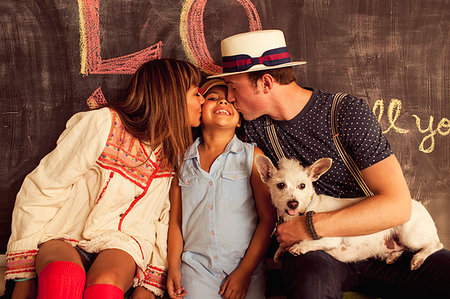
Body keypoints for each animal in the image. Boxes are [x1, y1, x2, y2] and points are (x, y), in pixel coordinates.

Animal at [255, 155, 444, 272]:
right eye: (280, 185)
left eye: (302, 185)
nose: (293, 203)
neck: (305, 211)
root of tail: (421, 205)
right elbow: (282, 246)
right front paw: (280, 251)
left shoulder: (330, 239)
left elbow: (310, 242)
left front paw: (299, 247)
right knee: (403, 248)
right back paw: (393, 256)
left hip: (410, 236)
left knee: (436, 244)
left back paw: (418, 258)